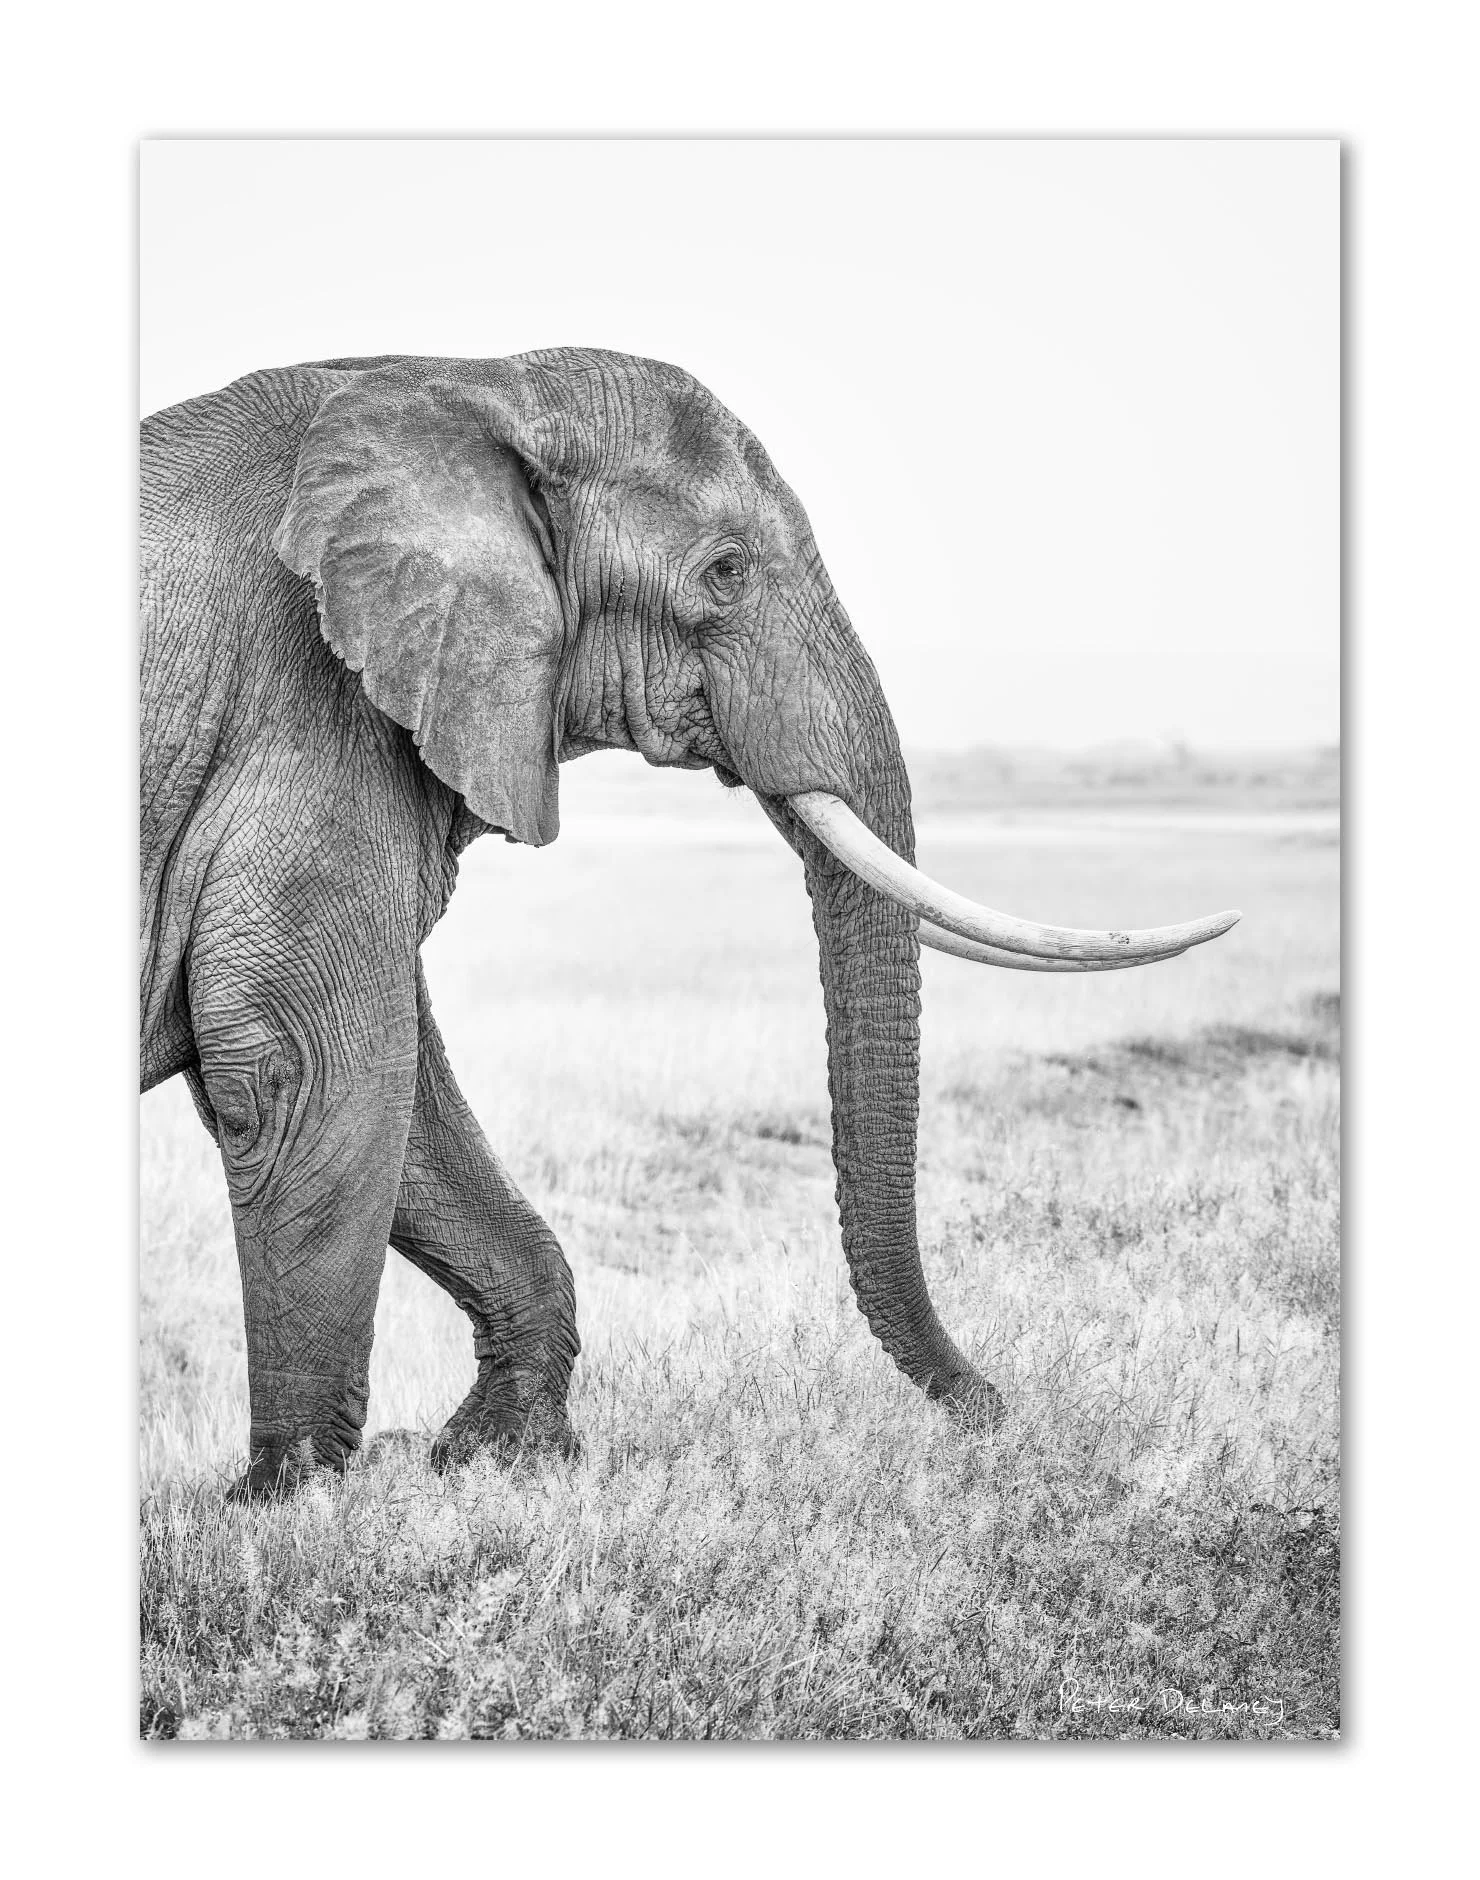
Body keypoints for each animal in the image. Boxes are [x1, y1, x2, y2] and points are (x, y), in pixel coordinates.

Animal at [140, 347, 1238, 1496]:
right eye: (726, 572)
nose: (1000, 1411)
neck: (480, 381)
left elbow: (397, 1092)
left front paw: (501, 1457)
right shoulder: (304, 716)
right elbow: (307, 1065)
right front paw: (298, 1499)